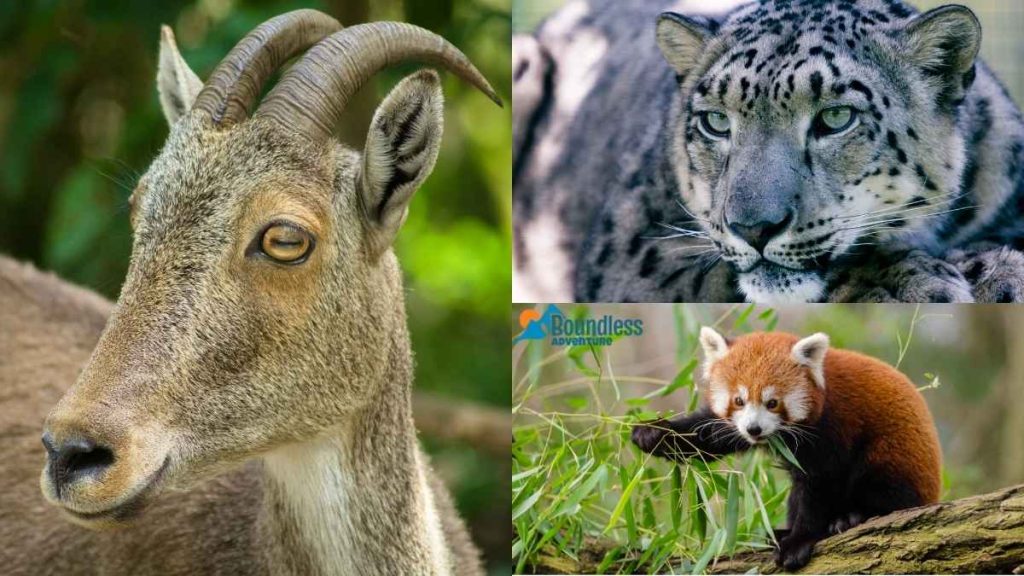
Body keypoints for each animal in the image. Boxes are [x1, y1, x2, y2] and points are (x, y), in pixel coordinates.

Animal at [513, 0, 1024, 304]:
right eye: (716, 122)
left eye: (836, 117)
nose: (754, 228)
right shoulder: (632, 251)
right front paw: (910, 283)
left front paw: (995, 272)